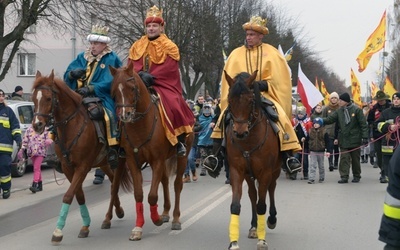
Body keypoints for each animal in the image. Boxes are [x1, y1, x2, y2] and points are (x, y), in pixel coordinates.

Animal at [30, 70, 130, 244]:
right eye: (33, 98)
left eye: (48, 98)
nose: (37, 125)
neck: (72, 126)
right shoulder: (68, 167)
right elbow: (79, 195)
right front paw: (85, 226)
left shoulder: (83, 167)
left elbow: (68, 195)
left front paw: (58, 231)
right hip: (103, 163)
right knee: (112, 183)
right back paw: (115, 213)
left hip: (121, 161)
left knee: (116, 184)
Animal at [109, 63, 194, 241]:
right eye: (114, 91)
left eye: (132, 88)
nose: (125, 115)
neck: (141, 126)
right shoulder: (133, 161)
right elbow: (139, 194)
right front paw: (138, 228)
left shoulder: (157, 161)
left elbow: (152, 196)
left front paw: (156, 219)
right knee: (165, 181)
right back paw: (166, 212)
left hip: (182, 156)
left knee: (177, 184)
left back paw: (175, 218)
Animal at [223, 70, 280, 250]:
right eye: (230, 100)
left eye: (250, 101)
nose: (240, 132)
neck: (249, 141)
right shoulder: (237, 170)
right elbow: (236, 205)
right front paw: (233, 242)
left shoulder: (265, 172)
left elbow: (262, 204)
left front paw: (262, 240)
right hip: (249, 175)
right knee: (253, 195)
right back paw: (254, 227)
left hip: (274, 171)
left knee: (271, 189)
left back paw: (271, 219)